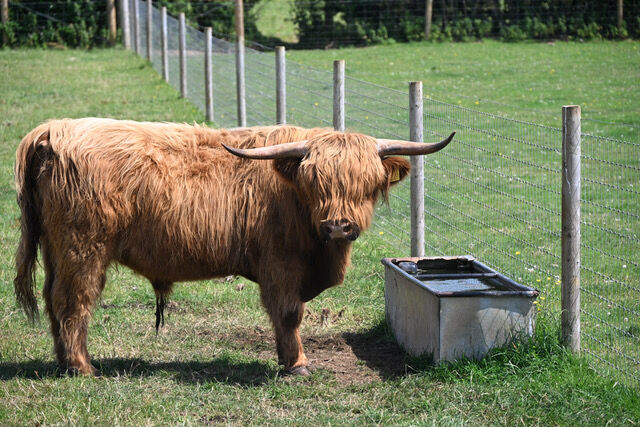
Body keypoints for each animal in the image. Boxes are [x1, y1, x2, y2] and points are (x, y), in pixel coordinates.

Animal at [14, 118, 454, 376]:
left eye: (366, 184)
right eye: (315, 182)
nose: (338, 225)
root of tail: (53, 130)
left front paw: (287, 358)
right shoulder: (280, 263)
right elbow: (290, 313)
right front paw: (297, 365)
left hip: (57, 248)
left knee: (52, 299)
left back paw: (63, 361)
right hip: (83, 247)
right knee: (73, 301)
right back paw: (81, 367)